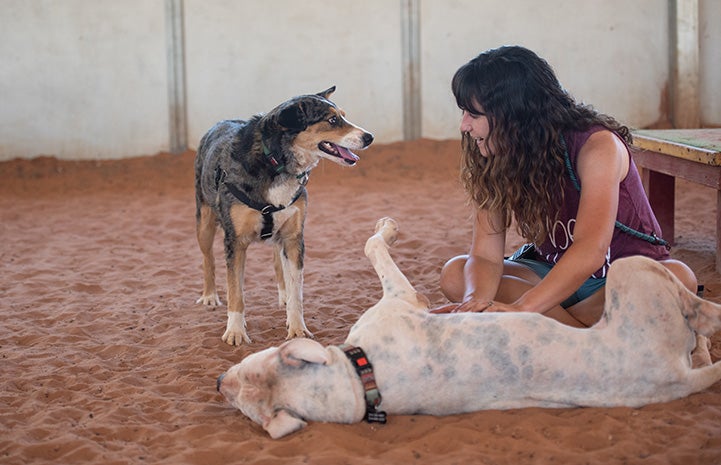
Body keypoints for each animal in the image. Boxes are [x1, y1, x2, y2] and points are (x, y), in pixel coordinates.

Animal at [194, 87, 374, 344]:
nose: (369, 137)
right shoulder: (235, 242)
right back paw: (209, 295)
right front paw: (236, 331)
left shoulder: (293, 237)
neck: (275, 161)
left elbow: (296, 290)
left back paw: (283, 295)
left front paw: (297, 328)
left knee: (278, 262)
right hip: (205, 223)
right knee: (208, 259)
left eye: (343, 116)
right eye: (331, 120)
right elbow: (235, 292)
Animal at [215, 216, 720, 436]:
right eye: (246, 405)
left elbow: (372, 245)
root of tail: (675, 377)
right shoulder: (403, 299)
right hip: (630, 272)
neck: (361, 379)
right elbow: (372, 243)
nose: (219, 382)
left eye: (246, 371)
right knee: (700, 315)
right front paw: (388, 227)